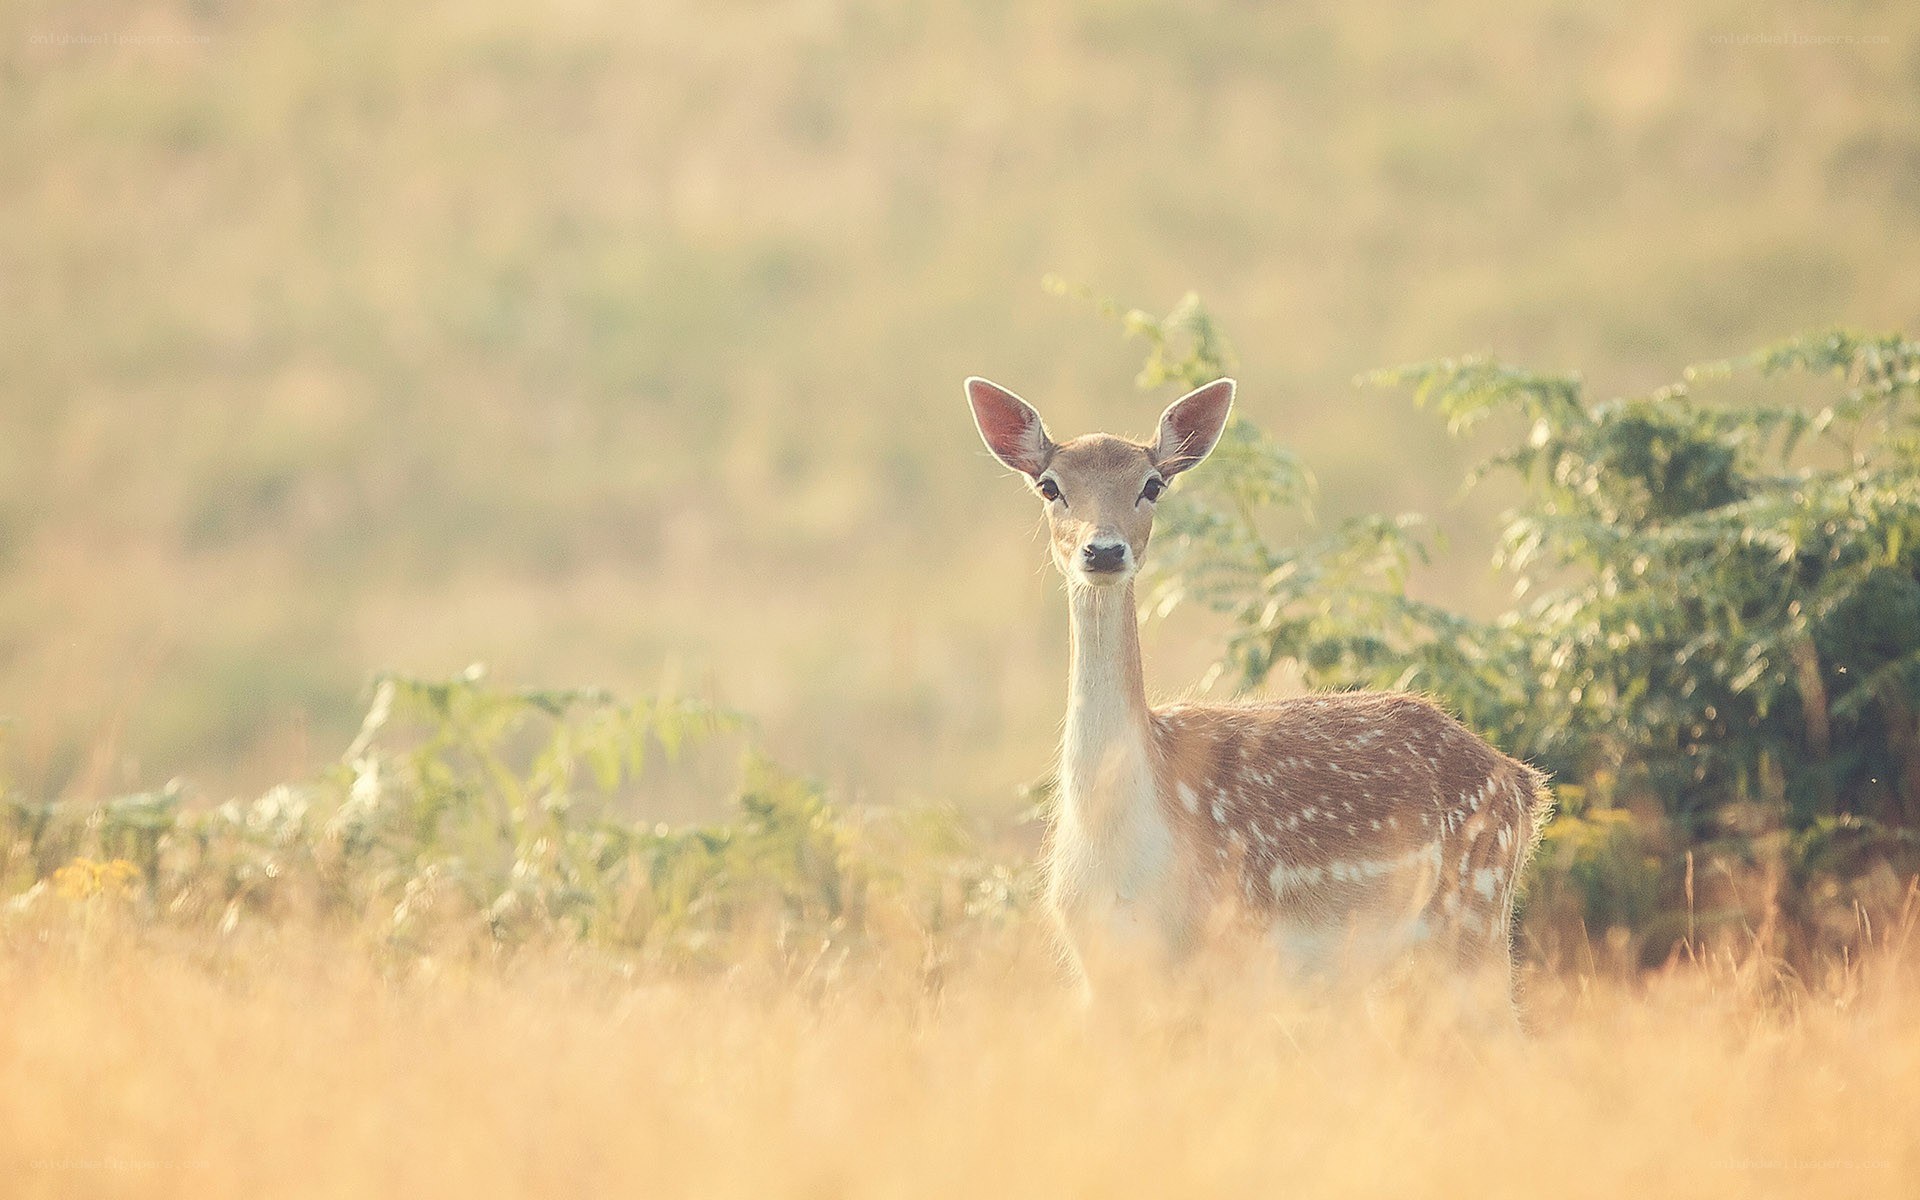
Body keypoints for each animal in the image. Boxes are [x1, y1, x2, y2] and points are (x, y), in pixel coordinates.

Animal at [966, 375, 1550, 1015]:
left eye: (1152, 484)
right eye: (1050, 485)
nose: (1104, 551)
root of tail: (1523, 782)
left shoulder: (1239, 948)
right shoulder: (1101, 969)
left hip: (1475, 917)